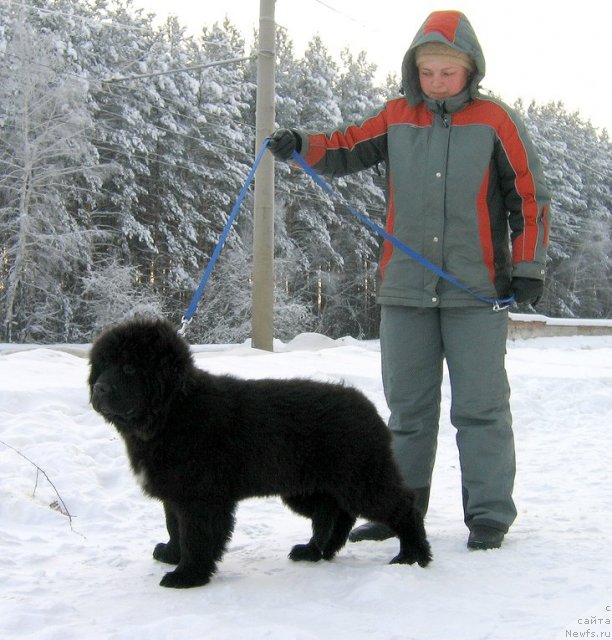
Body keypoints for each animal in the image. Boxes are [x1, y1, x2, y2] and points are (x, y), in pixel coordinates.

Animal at [88, 318, 430, 588]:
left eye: (129, 367)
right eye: (102, 366)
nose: (99, 389)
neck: (174, 411)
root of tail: (368, 408)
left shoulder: (201, 498)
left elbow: (197, 536)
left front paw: (187, 576)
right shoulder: (176, 494)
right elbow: (175, 527)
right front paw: (172, 554)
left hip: (361, 478)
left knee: (402, 506)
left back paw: (413, 555)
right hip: (310, 487)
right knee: (333, 514)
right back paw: (314, 551)